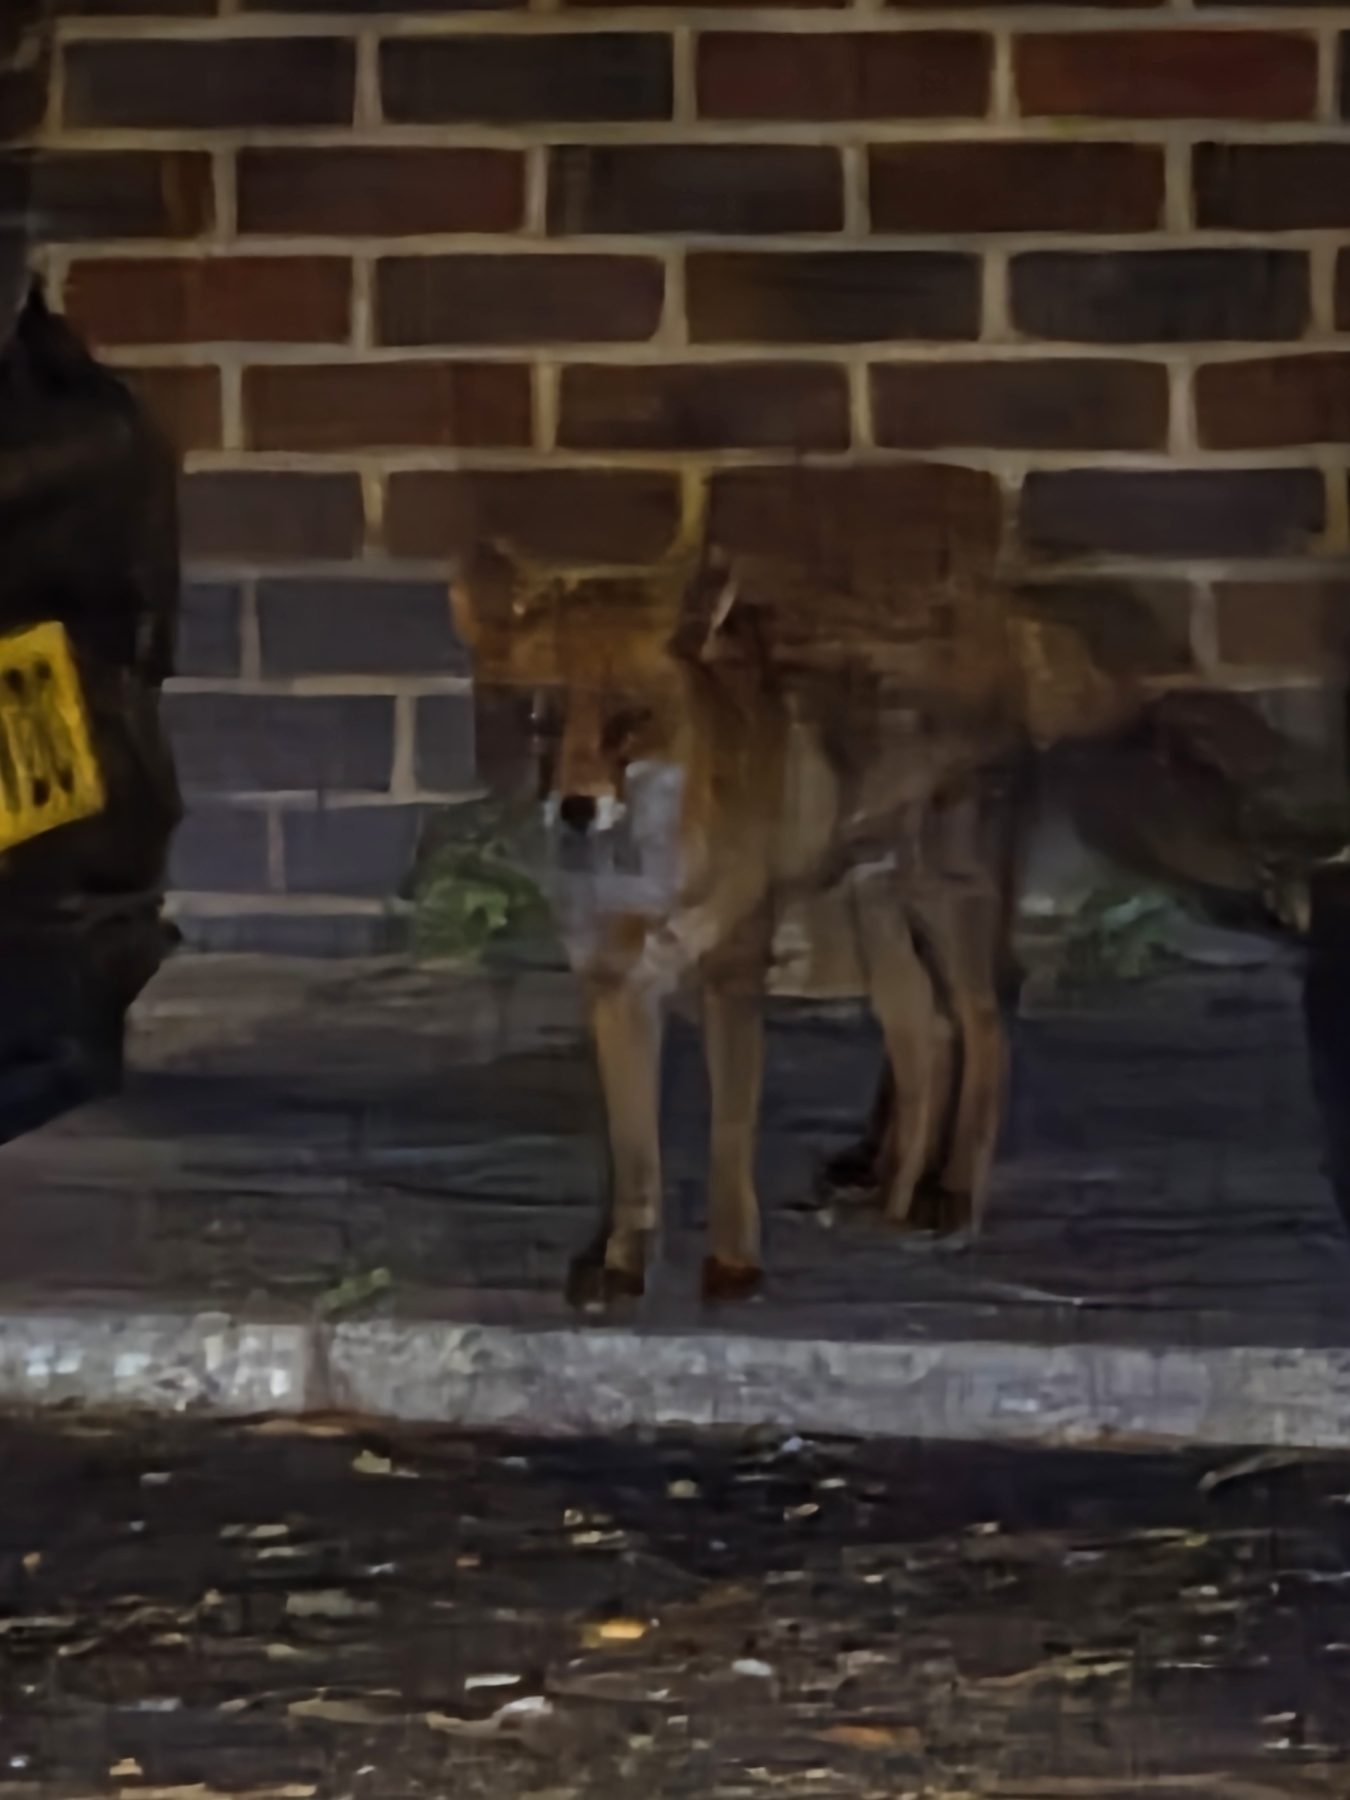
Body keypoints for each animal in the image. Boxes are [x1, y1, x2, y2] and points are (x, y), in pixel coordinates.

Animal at [450, 535, 1165, 1306]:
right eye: (539, 718)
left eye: (629, 719)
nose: (577, 808)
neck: (638, 880)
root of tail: (991, 601)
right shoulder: (613, 986)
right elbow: (632, 1153)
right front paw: (622, 1262)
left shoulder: (732, 971)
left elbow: (729, 1135)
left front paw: (734, 1263)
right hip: (873, 914)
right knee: (929, 1040)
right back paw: (892, 1198)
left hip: (943, 903)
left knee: (985, 1033)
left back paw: (951, 1196)